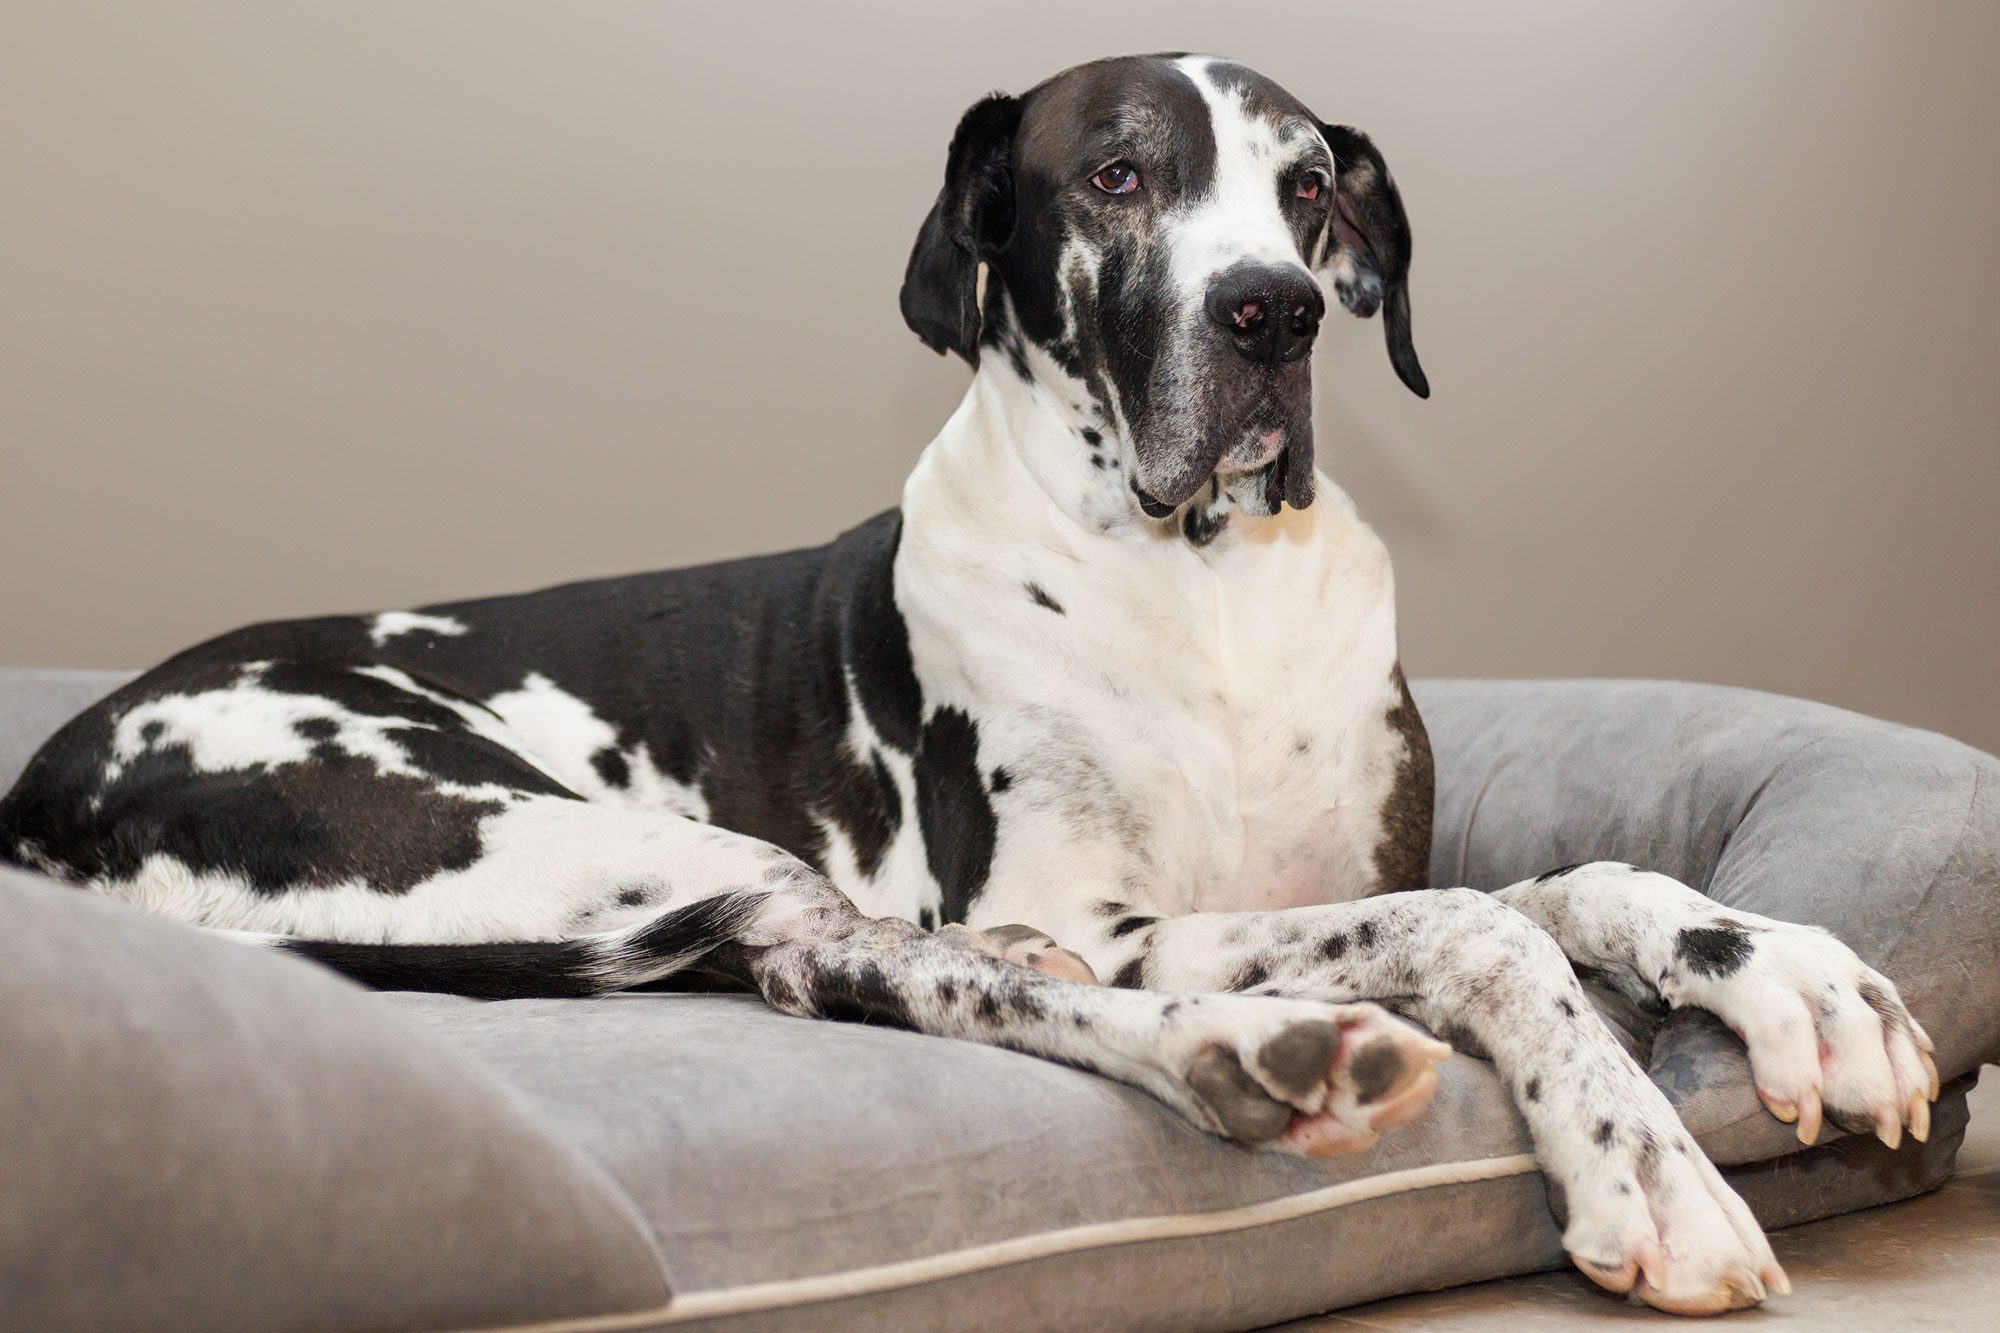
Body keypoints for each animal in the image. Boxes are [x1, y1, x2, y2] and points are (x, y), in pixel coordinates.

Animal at [3, 54, 1936, 1320]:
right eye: (1116, 177)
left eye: (1309, 185)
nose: (1272, 313)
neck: (1203, 590)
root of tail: (42, 790)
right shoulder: (1115, 911)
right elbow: (1477, 927)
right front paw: (1641, 1157)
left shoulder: (1350, 863)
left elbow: (1574, 880)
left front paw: (1794, 977)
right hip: (556, 834)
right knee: (864, 963)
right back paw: (1247, 1050)